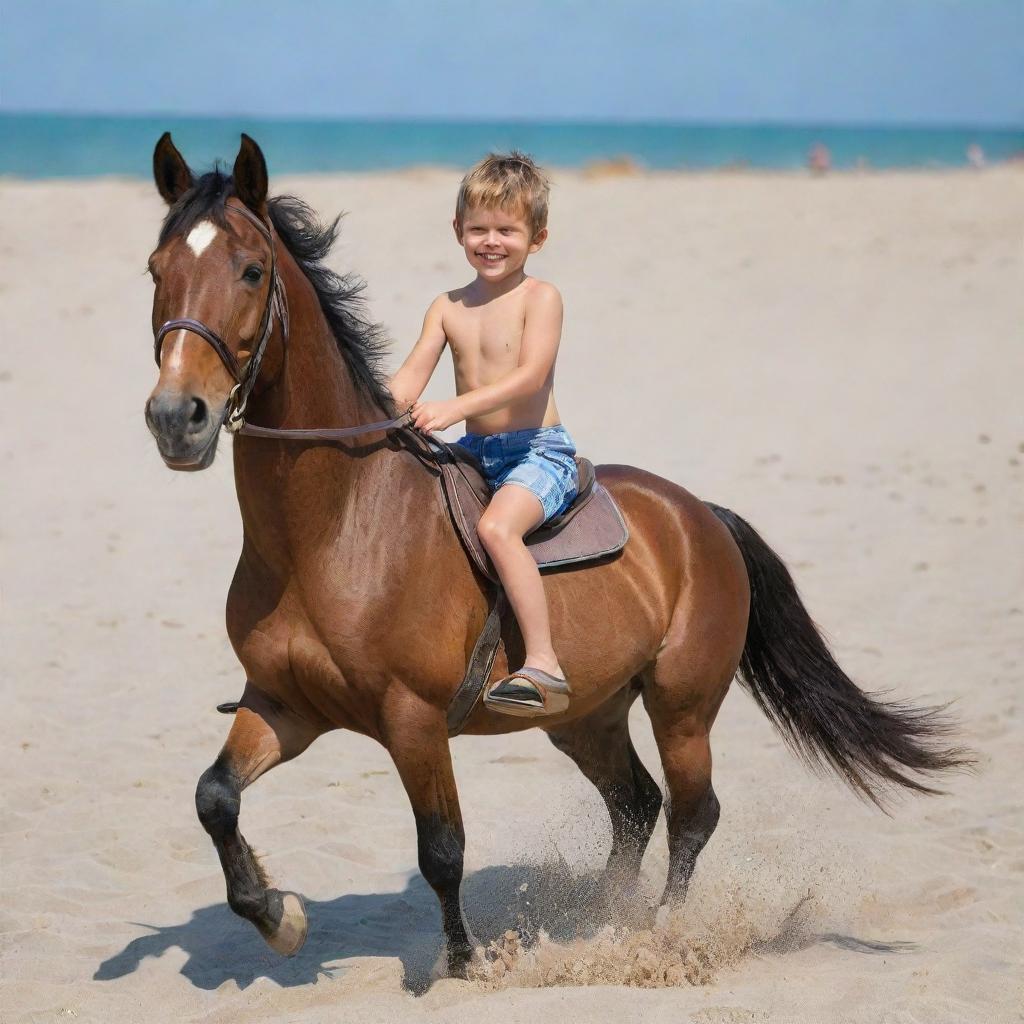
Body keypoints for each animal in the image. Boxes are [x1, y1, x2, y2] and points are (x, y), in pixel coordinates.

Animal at [142, 132, 966, 970]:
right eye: (156, 269)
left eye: (251, 271)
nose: (177, 417)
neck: (334, 531)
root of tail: (701, 516)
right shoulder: (282, 706)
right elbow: (214, 797)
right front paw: (279, 915)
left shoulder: (413, 721)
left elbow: (442, 848)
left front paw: (463, 963)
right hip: (587, 714)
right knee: (636, 803)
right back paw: (602, 919)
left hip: (682, 708)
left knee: (693, 812)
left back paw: (660, 934)